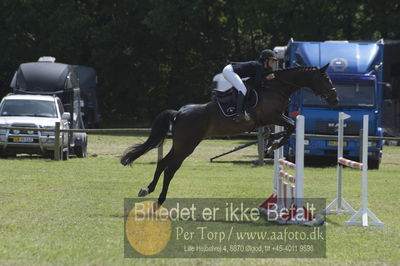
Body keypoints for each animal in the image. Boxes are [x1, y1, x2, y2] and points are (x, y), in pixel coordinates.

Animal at [121, 63, 338, 205]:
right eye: (326, 79)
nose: (335, 100)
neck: (275, 87)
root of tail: (179, 113)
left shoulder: (270, 120)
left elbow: (280, 130)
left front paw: (270, 144)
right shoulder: (273, 116)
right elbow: (291, 126)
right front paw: (274, 145)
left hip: (181, 144)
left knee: (163, 163)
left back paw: (147, 189)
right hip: (187, 145)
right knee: (170, 168)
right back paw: (160, 199)